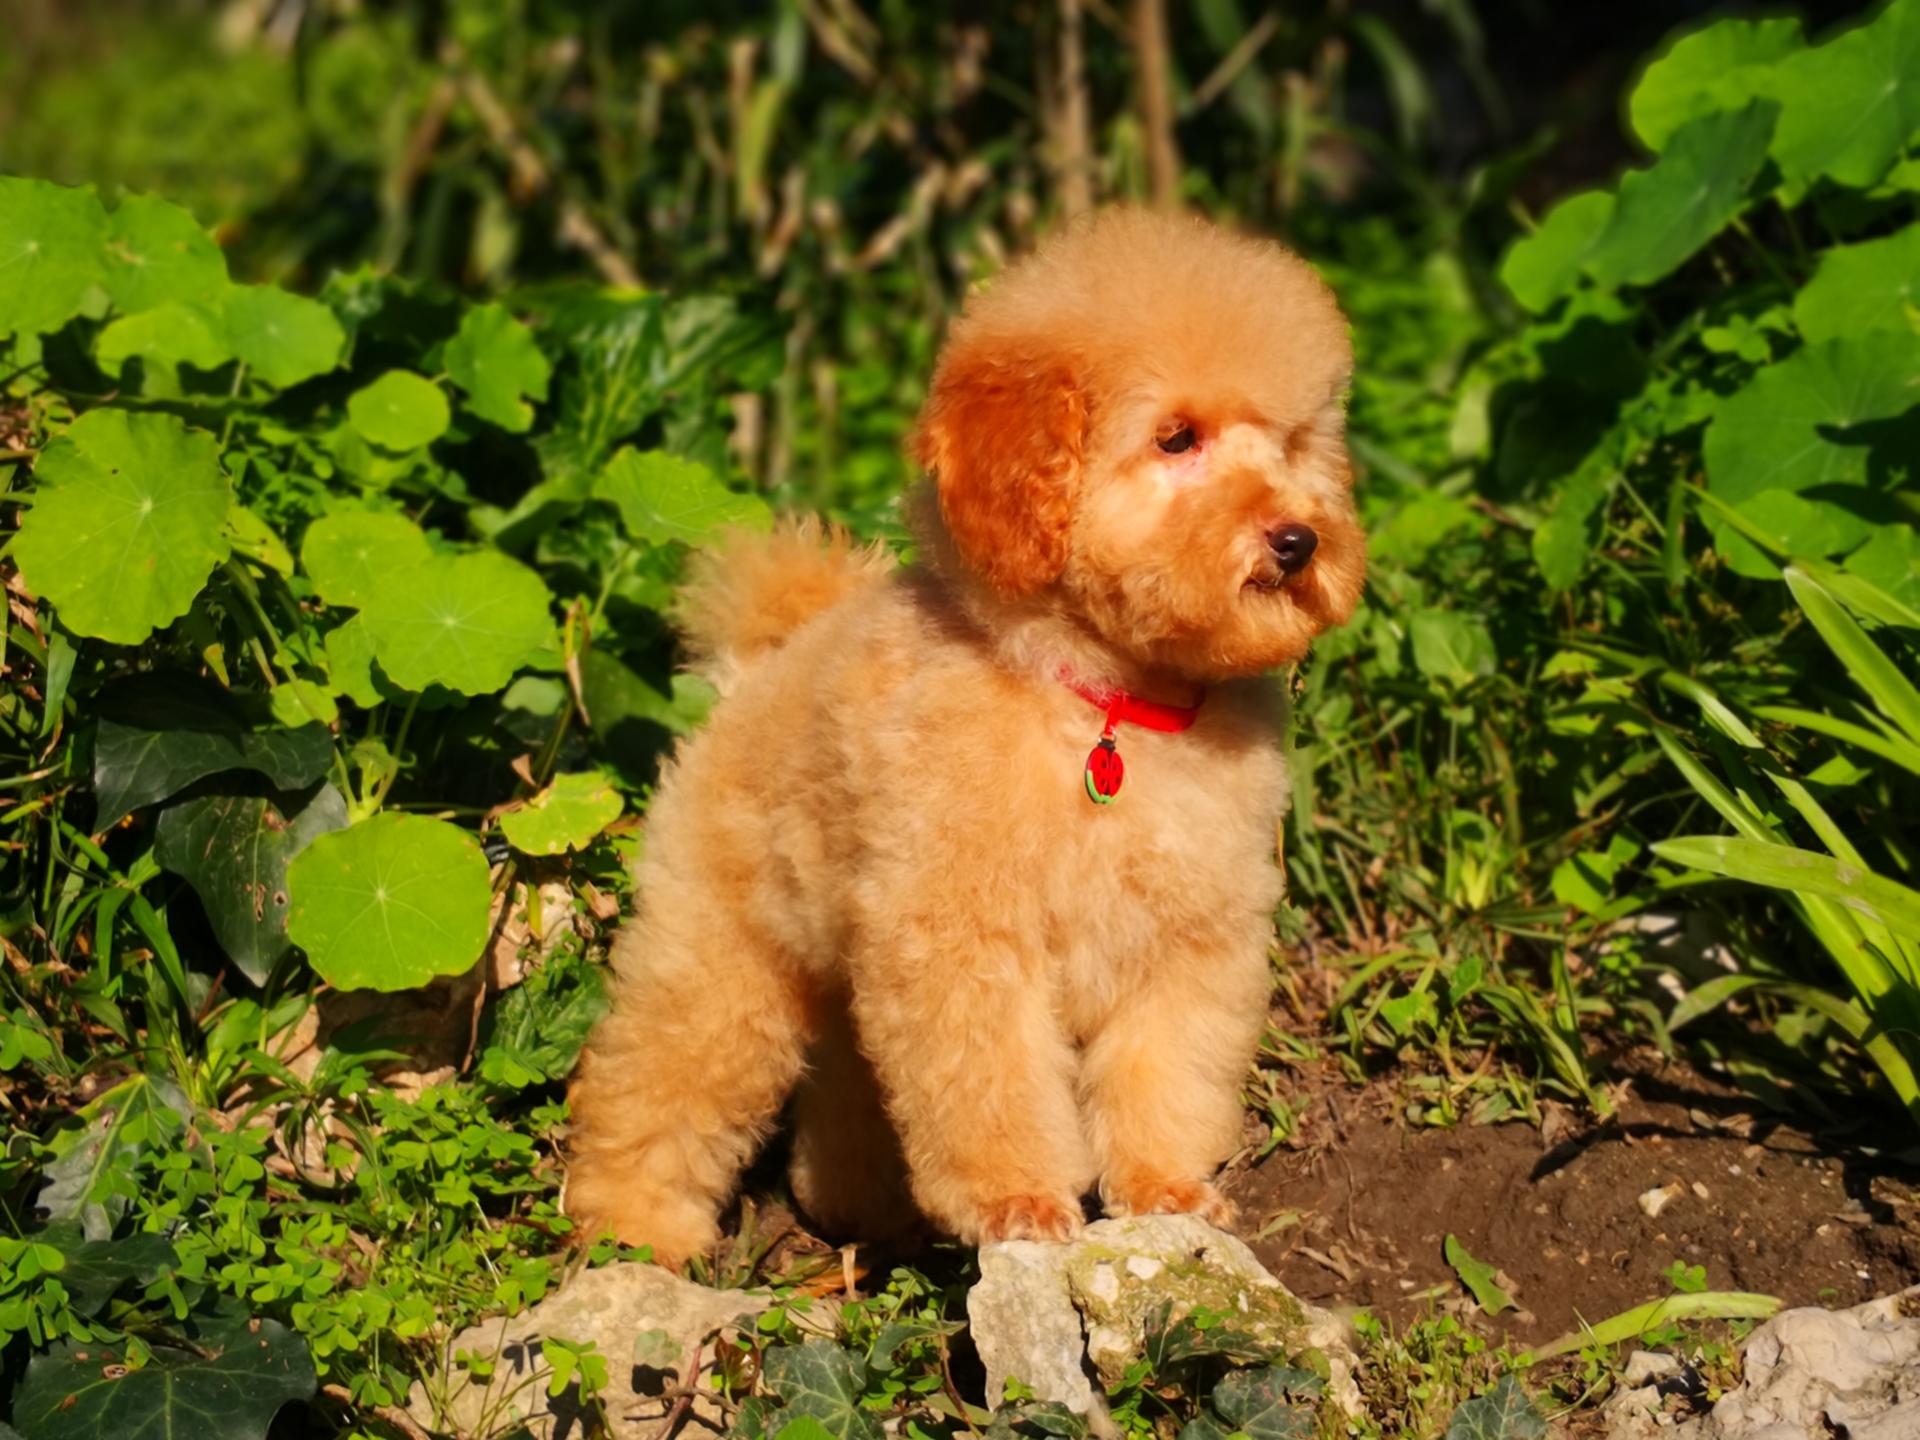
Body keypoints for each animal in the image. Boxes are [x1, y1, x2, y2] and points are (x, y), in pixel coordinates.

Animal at [564, 208, 1367, 1267]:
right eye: (1177, 438)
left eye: (1294, 444)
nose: (1298, 539)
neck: (1108, 706)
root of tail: (758, 667)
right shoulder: (964, 938)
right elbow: (990, 1082)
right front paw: (1016, 1200)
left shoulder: (1188, 937)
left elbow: (1165, 1069)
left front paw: (1164, 1189)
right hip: (722, 948)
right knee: (660, 1074)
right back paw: (631, 1225)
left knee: (849, 1080)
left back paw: (862, 1208)